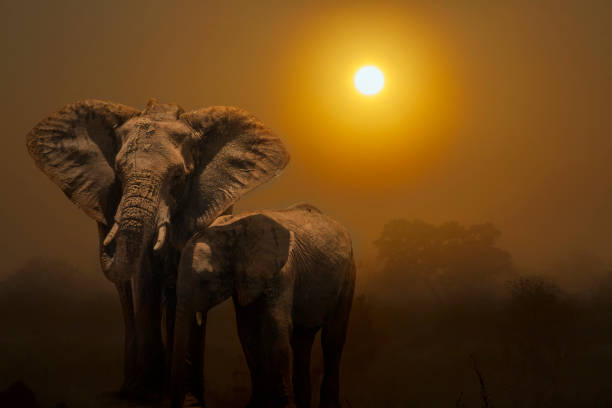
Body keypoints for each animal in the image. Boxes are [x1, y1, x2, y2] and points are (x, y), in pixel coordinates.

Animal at [26, 98, 290, 398]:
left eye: (178, 176)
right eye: (118, 174)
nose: (105, 231)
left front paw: (186, 397)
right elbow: (144, 280)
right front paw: (147, 393)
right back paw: (132, 387)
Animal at [170, 204, 356, 408]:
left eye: (206, 280)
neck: (233, 229)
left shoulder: (280, 273)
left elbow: (275, 331)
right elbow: (248, 333)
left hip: (348, 275)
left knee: (332, 339)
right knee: (302, 342)